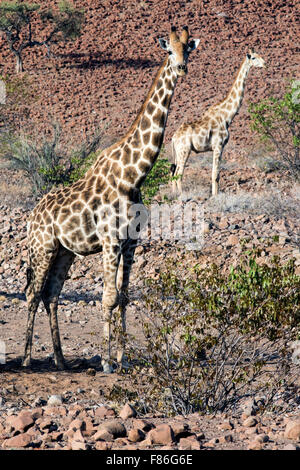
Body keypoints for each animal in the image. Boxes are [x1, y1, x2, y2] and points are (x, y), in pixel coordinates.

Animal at [22, 26, 199, 374]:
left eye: (188, 49)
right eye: (168, 51)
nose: (182, 68)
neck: (134, 174)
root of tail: (33, 215)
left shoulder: (131, 242)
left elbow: (124, 297)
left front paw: (122, 358)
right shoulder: (110, 239)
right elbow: (108, 298)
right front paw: (105, 362)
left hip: (64, 252)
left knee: (51, 294)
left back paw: (60, 360)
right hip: (42, 247)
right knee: (33, 294)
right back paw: (25, 359)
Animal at [171, 50, 264, 197]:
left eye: (260, 55)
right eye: (254, 58)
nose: (264, 63)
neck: (227, 116)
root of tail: (173, 138)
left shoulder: (219, 147)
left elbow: (217, 174)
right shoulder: (218, 146)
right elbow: (215, 174)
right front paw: (215, 196)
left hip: (178, 152)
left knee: (174, 173)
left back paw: (174, 194)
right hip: (184, 150)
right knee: (178, 174)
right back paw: (181, 195)